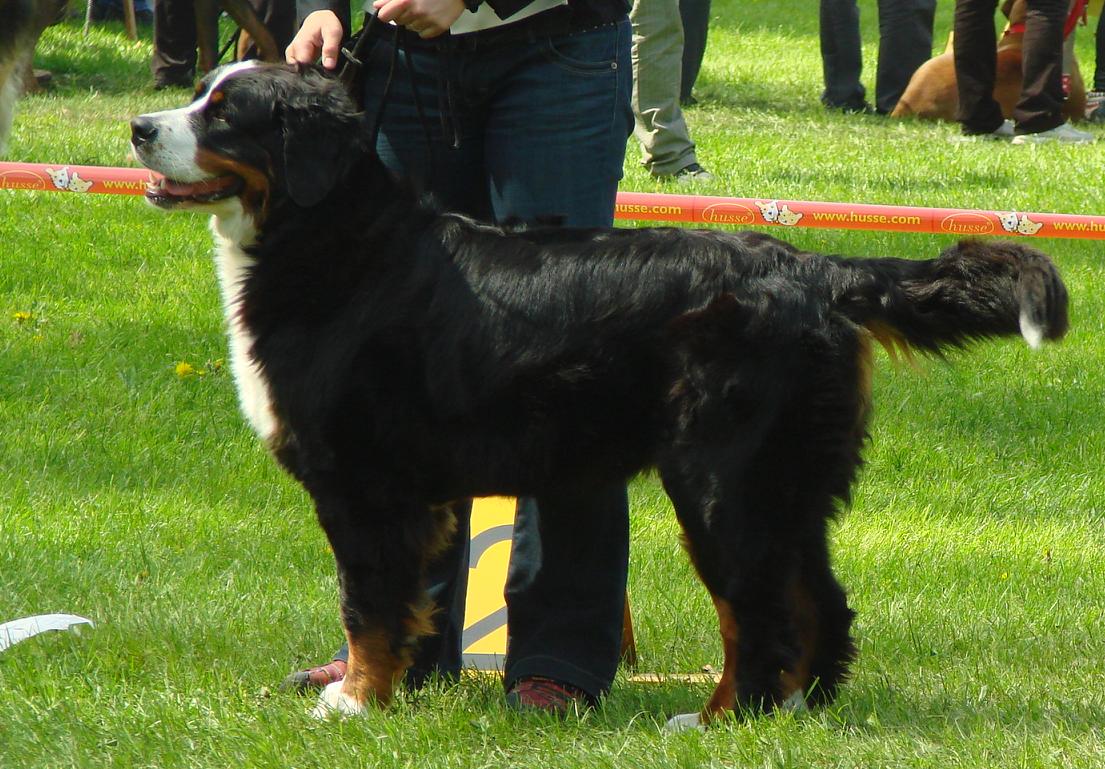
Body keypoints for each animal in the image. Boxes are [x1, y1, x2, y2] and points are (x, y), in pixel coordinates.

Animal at [130, 62, 1068, 723]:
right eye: (202, 94)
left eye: (225, 113)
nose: (139, 127)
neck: (332, 240)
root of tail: (810, 267)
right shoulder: (417, 493)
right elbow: (406, 604)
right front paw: (381, 690)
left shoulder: (362, 484)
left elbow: (367, 603)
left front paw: (355, 700)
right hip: (785, 483)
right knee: (817, 603)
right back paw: (794, 713)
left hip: (721, 483)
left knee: (758, 611)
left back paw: (723, 719)